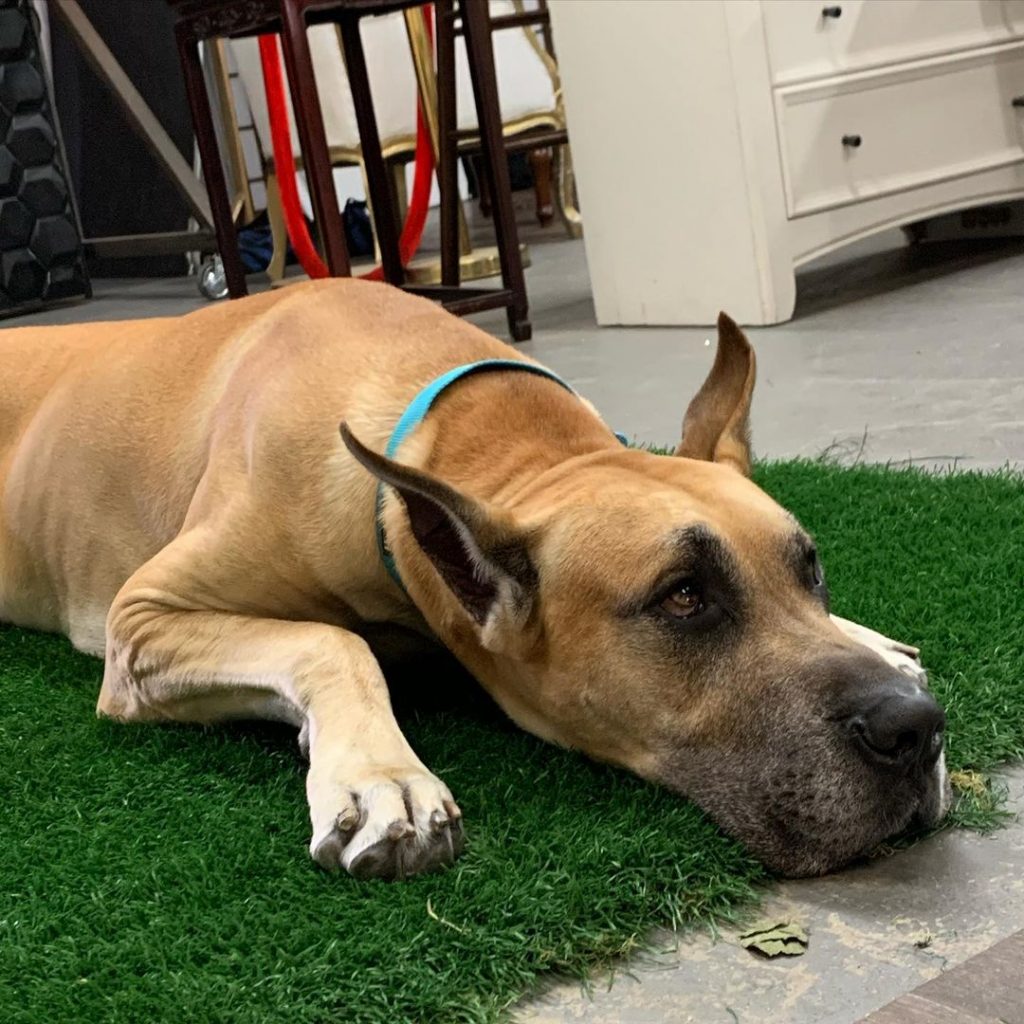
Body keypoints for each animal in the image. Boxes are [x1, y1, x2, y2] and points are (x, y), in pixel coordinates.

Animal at [0, 280, 946, 880]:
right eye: (684, 596)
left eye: (809, 568)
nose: (916, 730)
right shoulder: (142, 619)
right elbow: (333, 640)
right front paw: (381, 778)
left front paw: (875, 639)